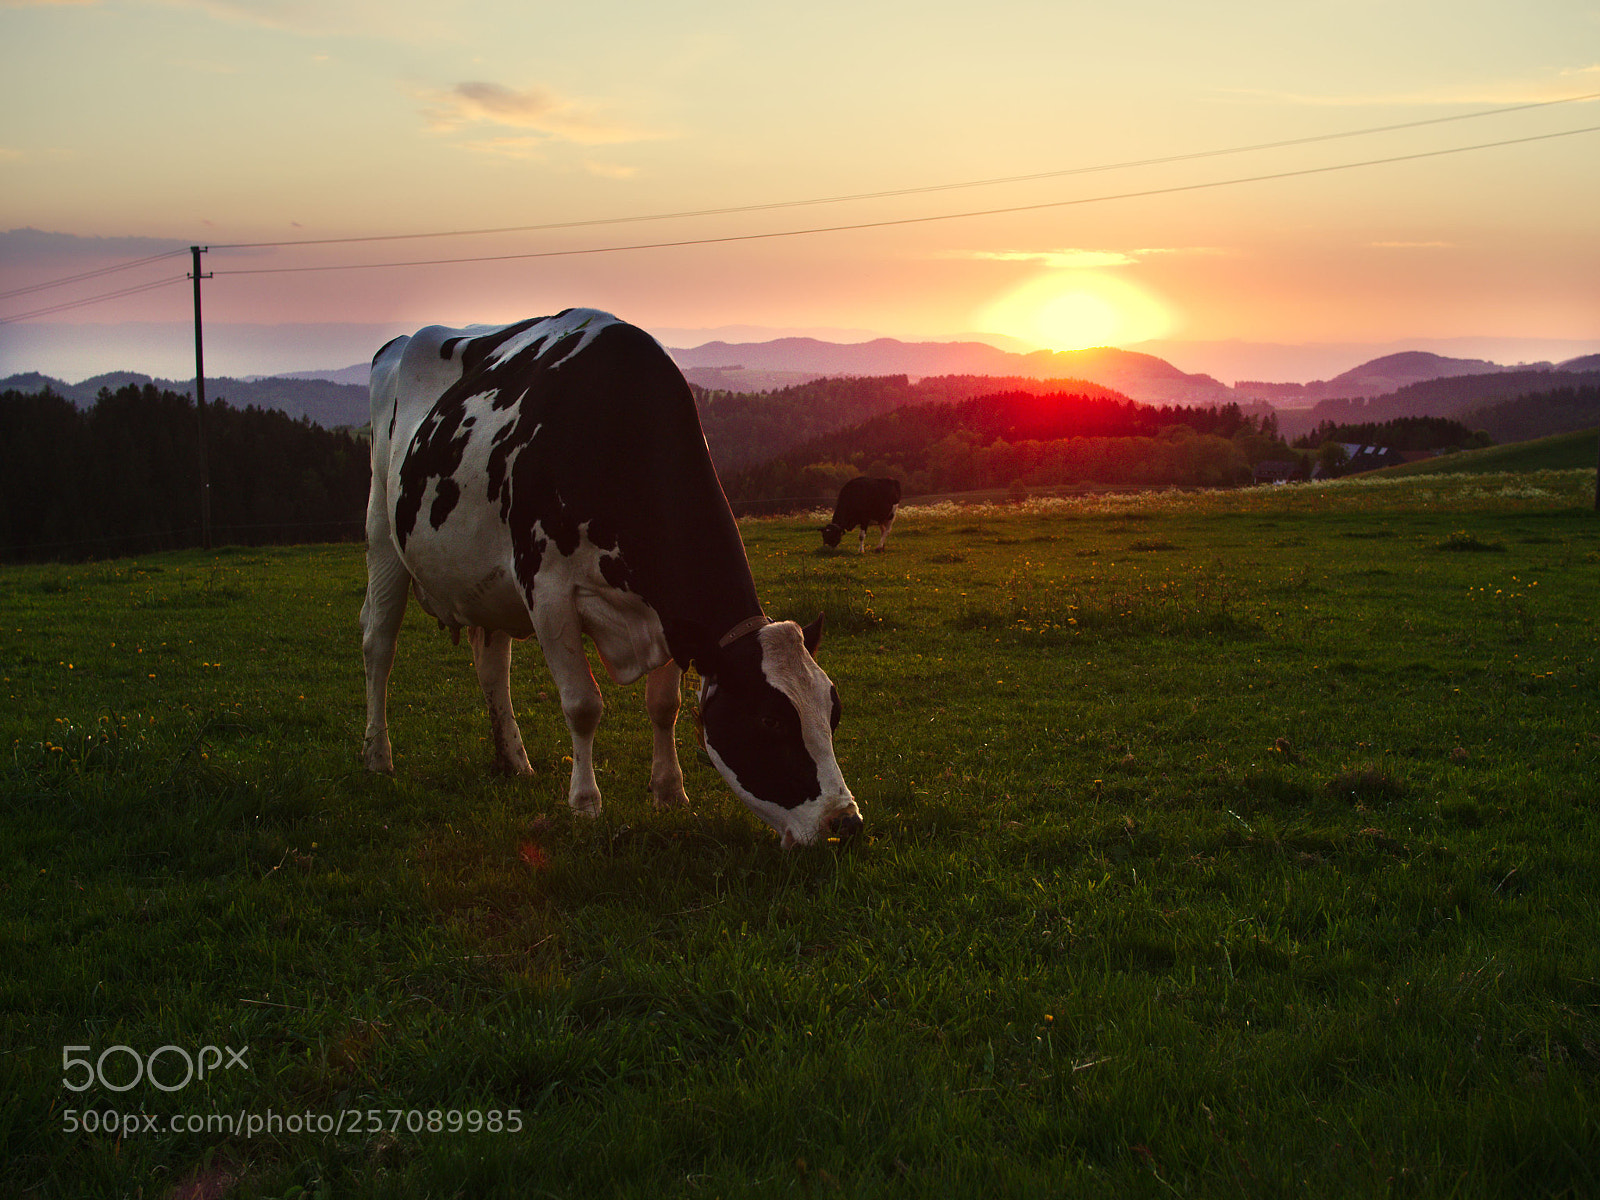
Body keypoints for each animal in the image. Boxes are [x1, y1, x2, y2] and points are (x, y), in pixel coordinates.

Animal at [361, 309, 862, 848]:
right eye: (770, 719)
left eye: (833, 711)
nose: (846, 822)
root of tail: (402, 342)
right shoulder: (546, 590)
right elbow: (583, 704)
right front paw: (585, 804)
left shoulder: (670, 616)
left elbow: (665, 704)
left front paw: (670, 792)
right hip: (382, 533)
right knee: (378, 644)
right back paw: (378, 757)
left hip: (484, 584)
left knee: (492, 665)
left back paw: (514, 762)